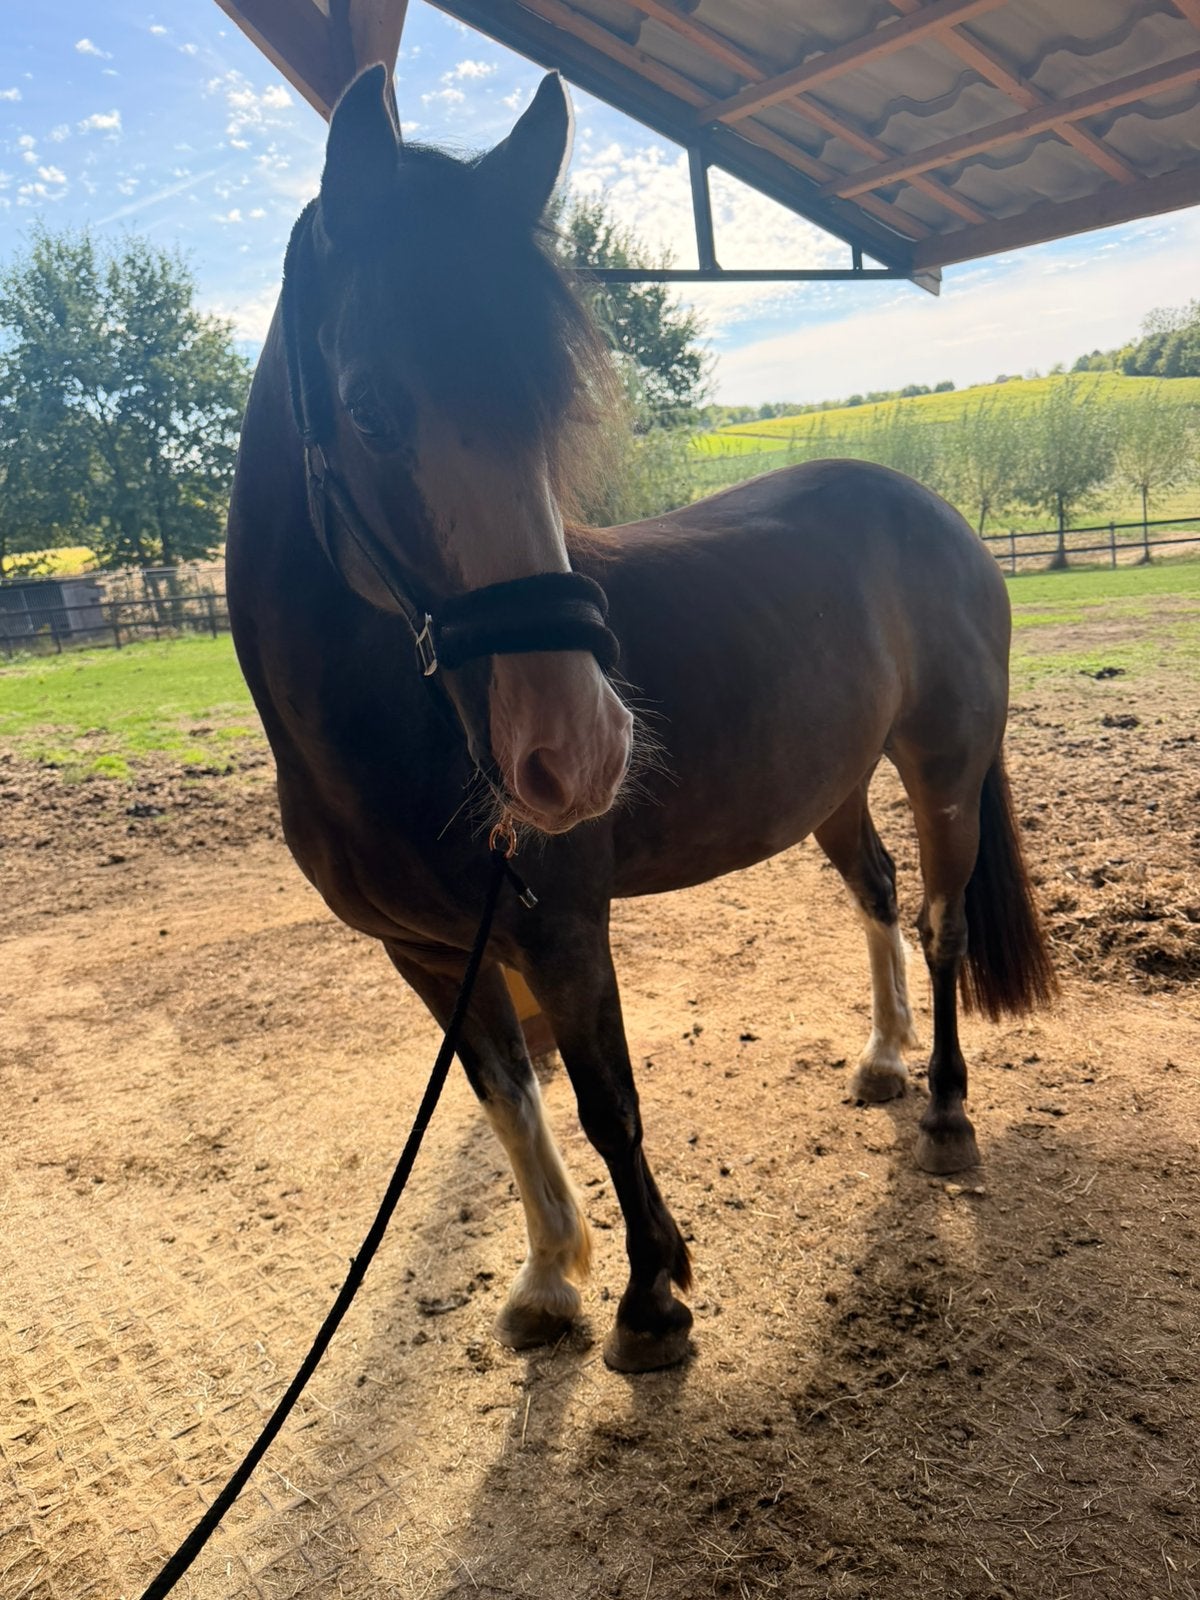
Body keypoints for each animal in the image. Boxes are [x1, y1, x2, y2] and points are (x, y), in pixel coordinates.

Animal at [226, 66, 1056, 1374]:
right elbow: (509, 1101)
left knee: (940, 923)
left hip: (944, 772)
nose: (581, 752)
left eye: (549, 407)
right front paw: (548, 1280)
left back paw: (944, 1110)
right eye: (368, 408)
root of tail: (935, 512)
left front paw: (650, 1295)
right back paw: (882, 1060)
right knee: (876, 891)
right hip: (830, 786)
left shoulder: (562, 929)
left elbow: (607, 1100)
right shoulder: (431, 955)